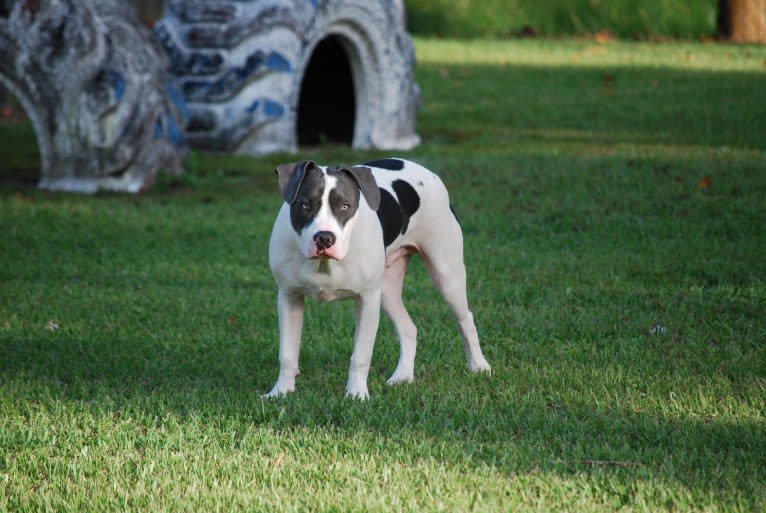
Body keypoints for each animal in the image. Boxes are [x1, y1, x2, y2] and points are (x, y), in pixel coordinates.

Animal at [264, 158, 492, 398]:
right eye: (306, 205)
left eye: (345, 206)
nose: (325, 238)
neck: (324, 264)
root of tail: (427, 171)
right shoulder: (289, 297)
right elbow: (287, 354)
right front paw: (281, 392)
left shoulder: (367, 299)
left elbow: (361, 355)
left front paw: (356, 394)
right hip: (387, 290)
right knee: (408, 328)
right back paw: (403, 376)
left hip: (446, 274)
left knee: (465, 319)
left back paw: (479, 366)